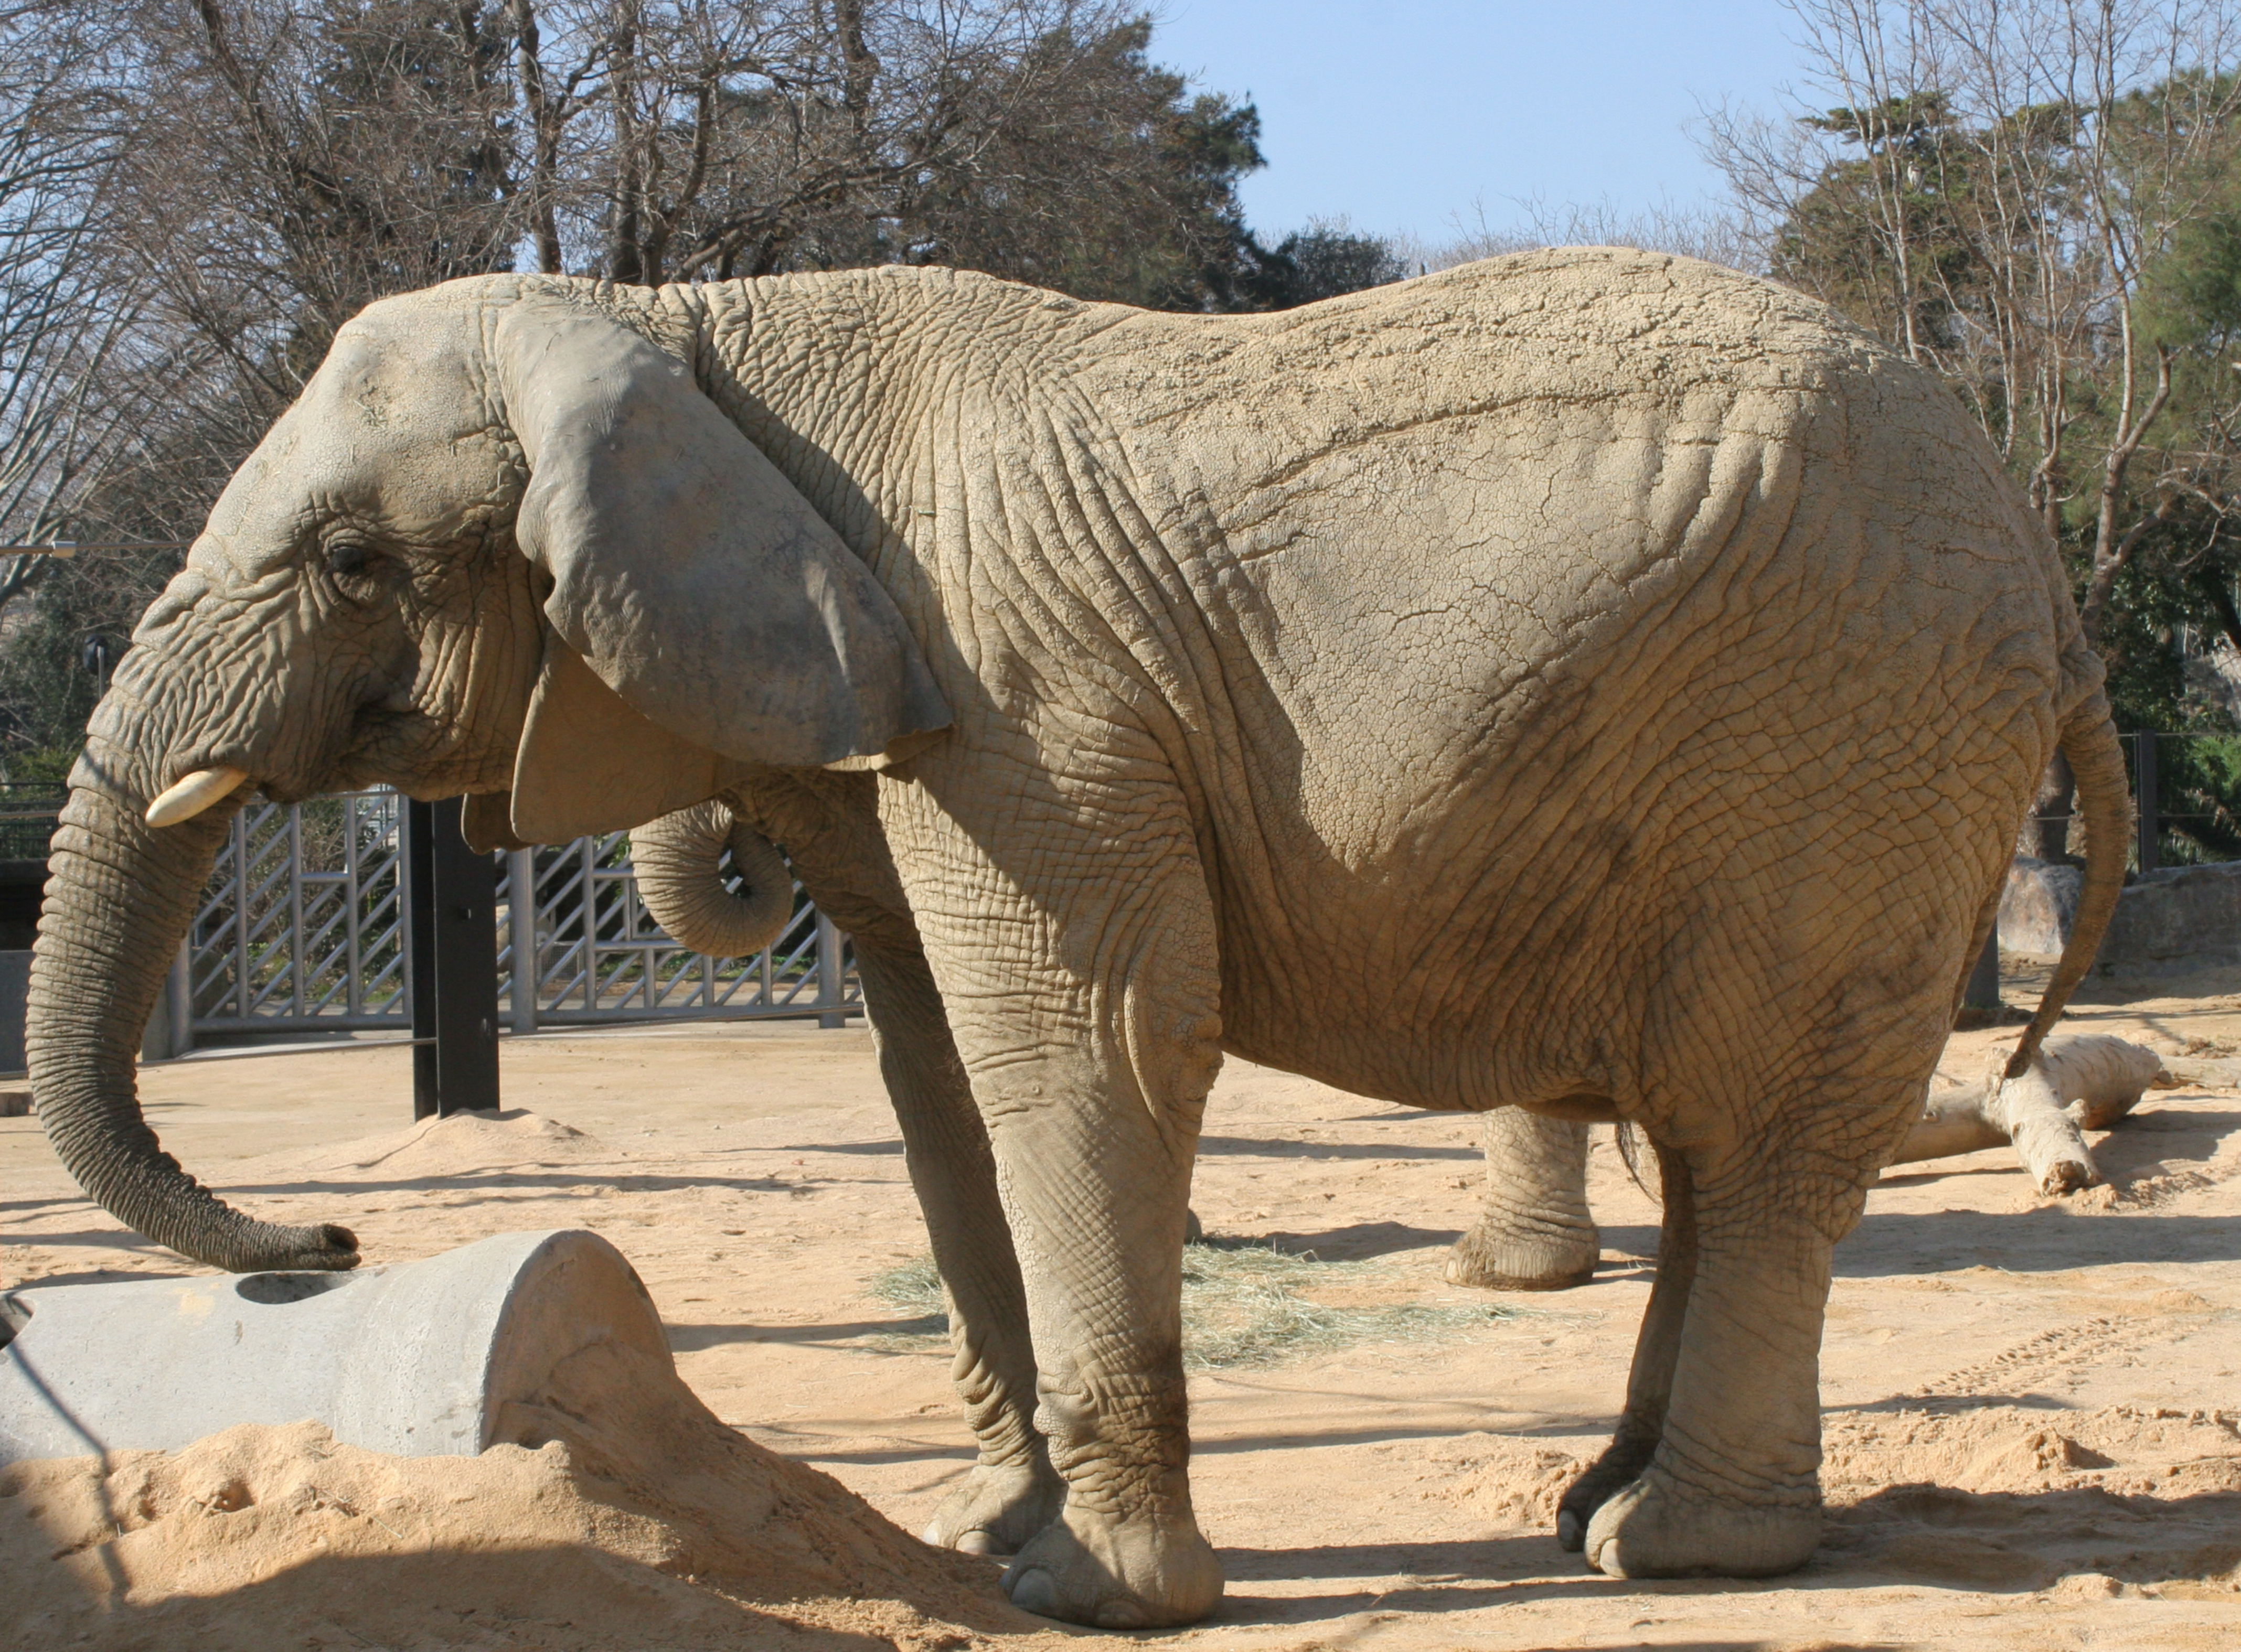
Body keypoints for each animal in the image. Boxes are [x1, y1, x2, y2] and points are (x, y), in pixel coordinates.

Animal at [35, 254, 2124, 1623]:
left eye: (351, 567)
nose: (325, 1245)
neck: (683, 322)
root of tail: (2045, 563)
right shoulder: (918, 726)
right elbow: (936, 1083)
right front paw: (984, 1541)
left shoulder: (1024, 705)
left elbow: (1088, 1042)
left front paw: (1096, 1596)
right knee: (1714, 1138)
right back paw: (1595, 1510)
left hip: (1847, 741)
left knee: (1758, 1131)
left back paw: (1669, 1550)